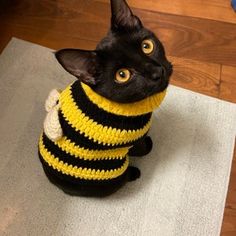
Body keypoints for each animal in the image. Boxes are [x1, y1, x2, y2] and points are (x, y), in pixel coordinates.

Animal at [37, 0, 172, 197]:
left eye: (147, 46)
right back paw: (133, 173)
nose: (157, 71)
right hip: (113, 169)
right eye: (122, 75)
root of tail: (56, 184)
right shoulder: (129, 140)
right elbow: (140, 147)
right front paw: (147, 146)